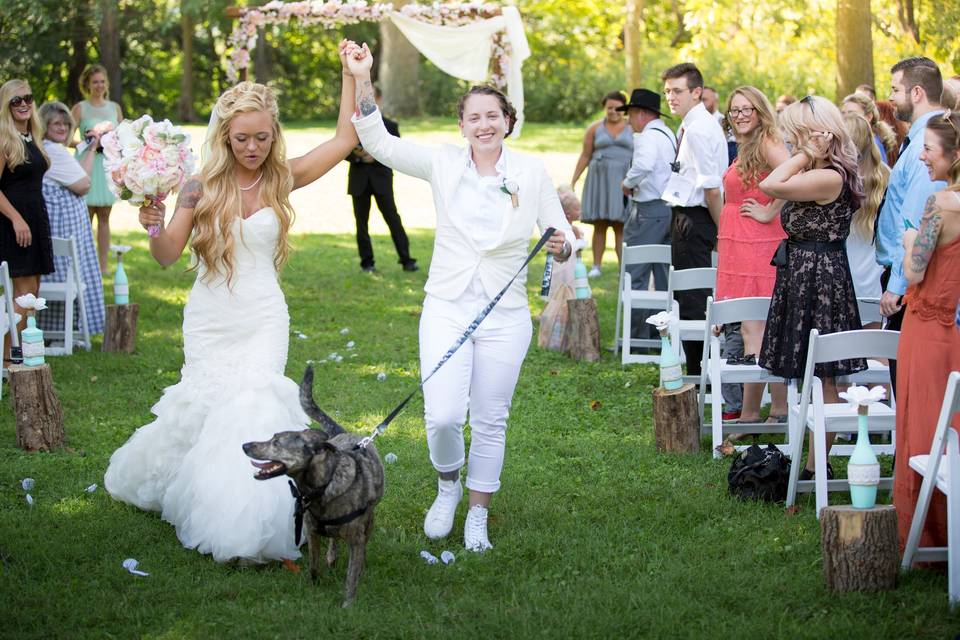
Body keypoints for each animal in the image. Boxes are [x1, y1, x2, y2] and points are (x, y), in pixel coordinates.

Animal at [242, 368, 384, 608]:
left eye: (276, 443)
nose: (244, 445)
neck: (321, 488)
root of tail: (343, 432)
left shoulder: (356, 539)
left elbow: (352, 576)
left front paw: (348, 605)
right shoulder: (311, 531)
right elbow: (313, 566)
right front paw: (314, 587)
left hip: (369, 520)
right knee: (333, 541)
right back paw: (332, 556)